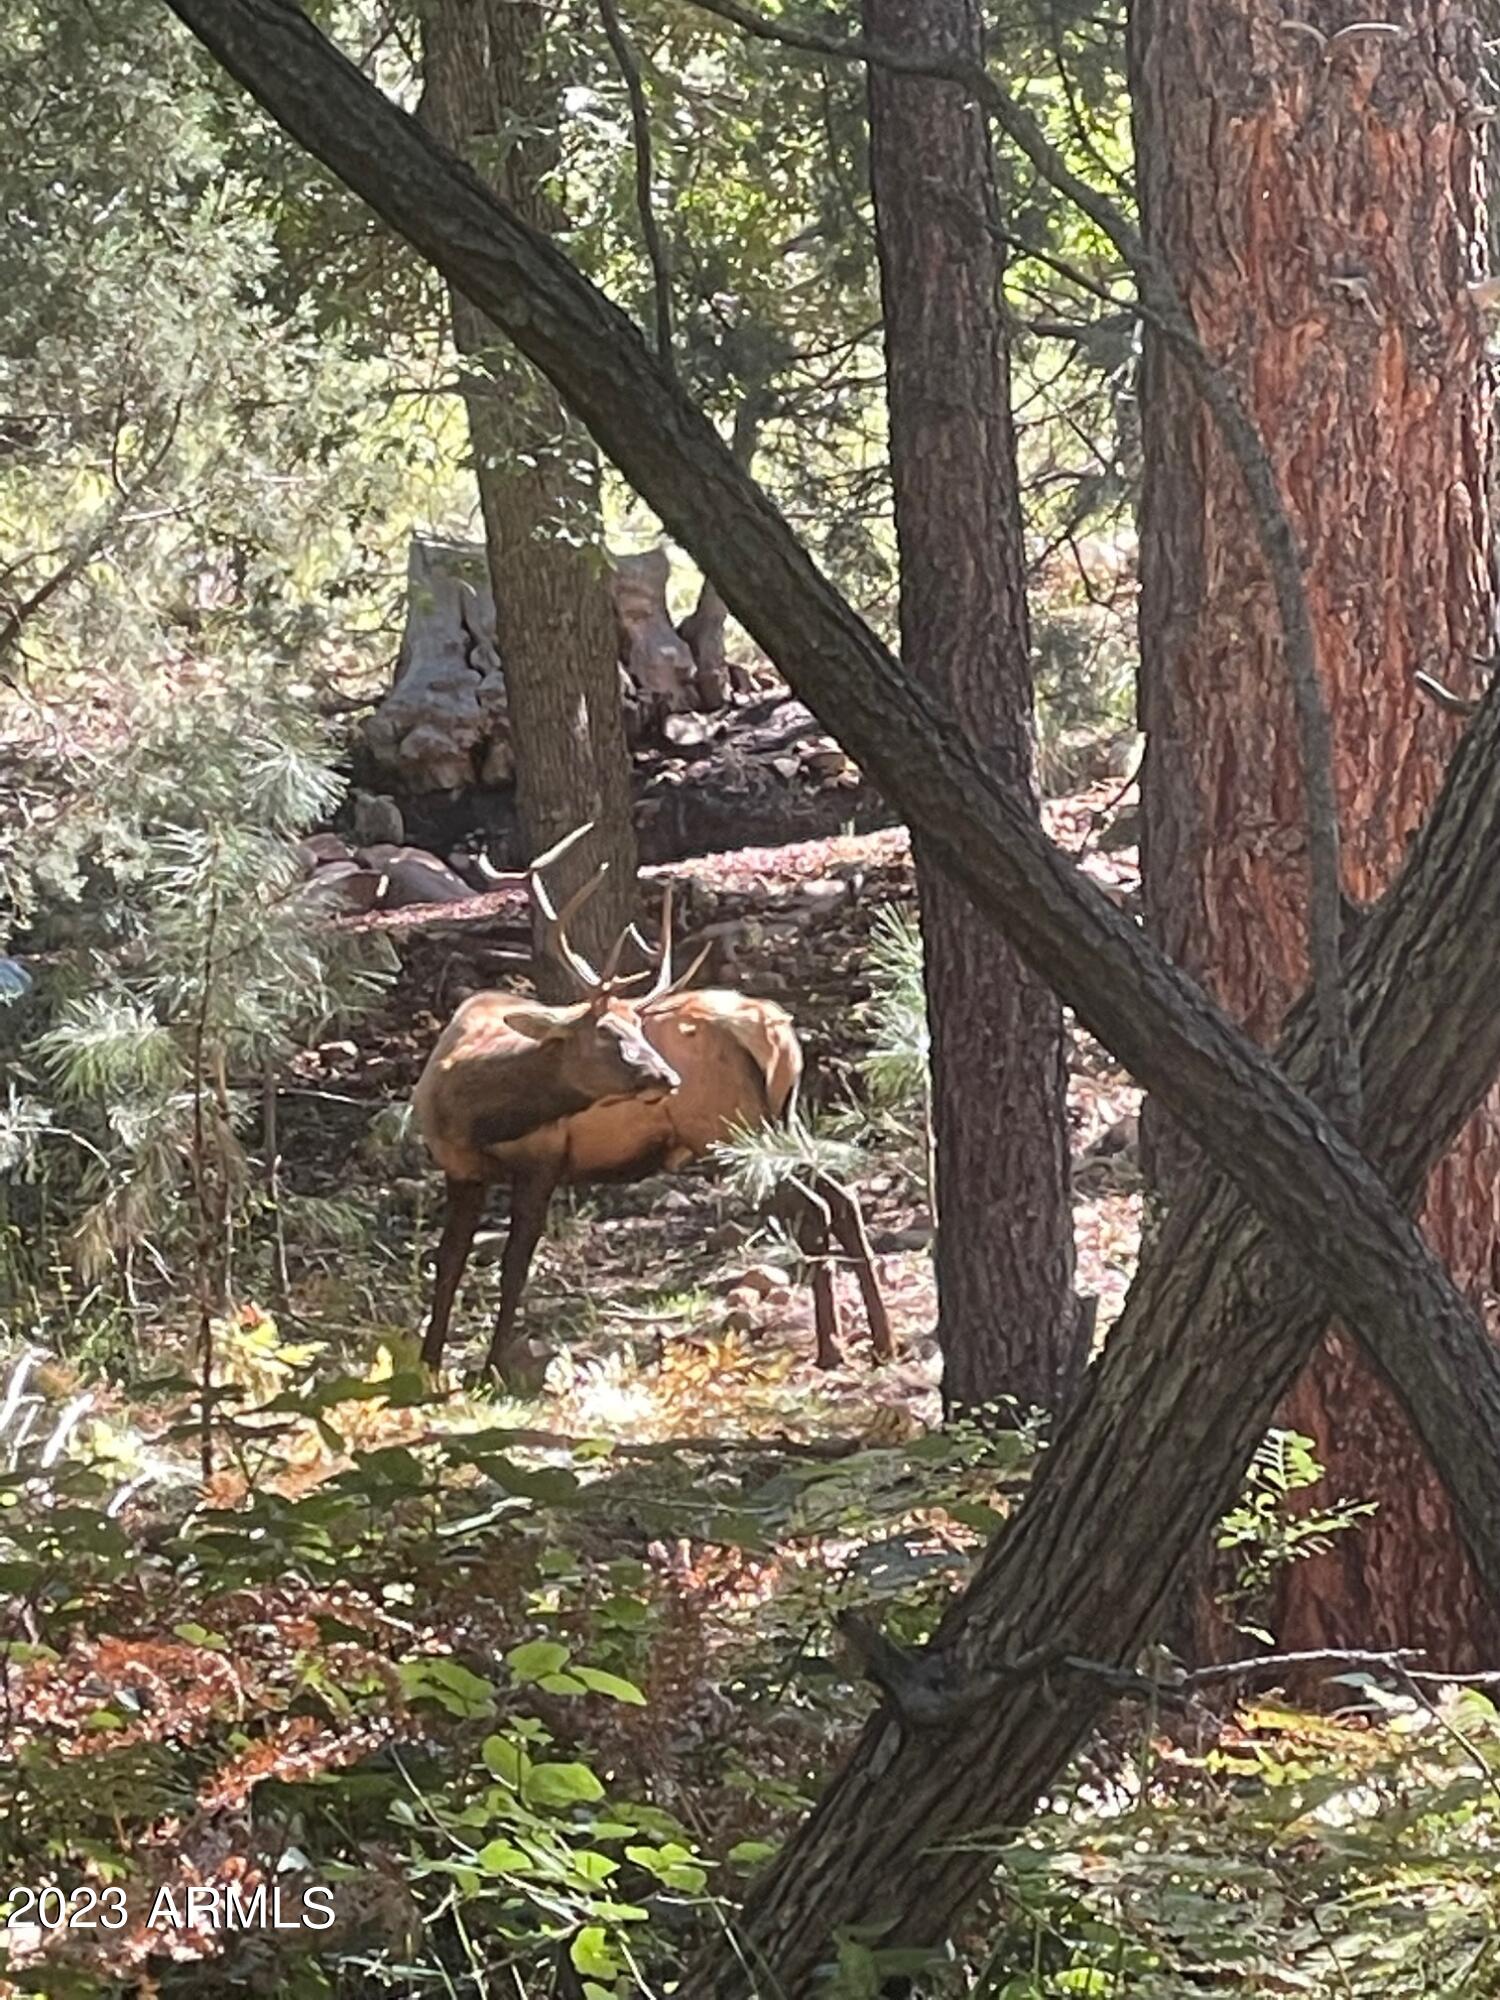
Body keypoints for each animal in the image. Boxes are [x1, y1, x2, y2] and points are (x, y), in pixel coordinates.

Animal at [411, 827, 892, 1379]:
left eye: (638, 1027)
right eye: (606, 1031)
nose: (667, 1075)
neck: (469, 1111)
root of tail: (779, 1033)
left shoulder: (543, 1161)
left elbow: (514, 1265)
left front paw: (490, 1368)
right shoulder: (460, 1170)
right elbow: (448, 1262)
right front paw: (427, 1365)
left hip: (728, 1126)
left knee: (814, 1207)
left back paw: (831, 1347)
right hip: (781, 1117)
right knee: (842, 1196)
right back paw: (881, 1342)